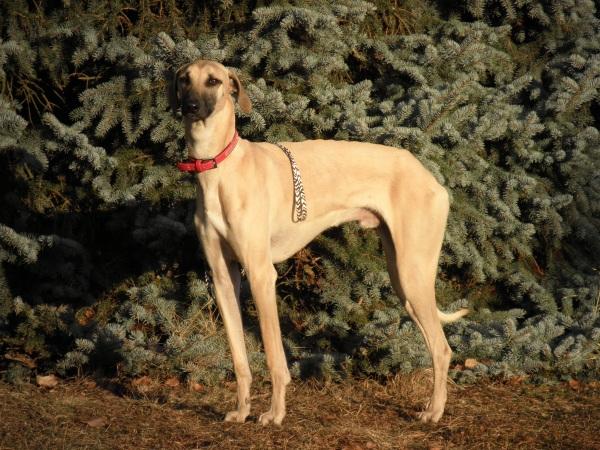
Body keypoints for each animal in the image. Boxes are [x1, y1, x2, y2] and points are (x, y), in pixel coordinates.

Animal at [168, 59, 468, 426]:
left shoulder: (261, 274)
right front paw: (242, 411)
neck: (221, 168)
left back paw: (434, 411)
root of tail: (430, 177)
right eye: (184, 80)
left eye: (213, 81)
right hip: (403, 278)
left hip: (413, 274)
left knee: (442, 348)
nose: (190, 107)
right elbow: (239, 358)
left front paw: (274, 414)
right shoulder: (223, 278)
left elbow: (274, 356)